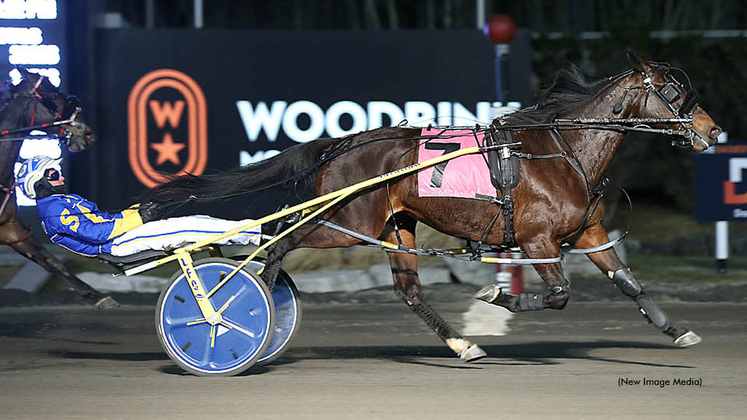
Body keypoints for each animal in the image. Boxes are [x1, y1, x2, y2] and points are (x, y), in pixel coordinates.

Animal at [148, 52, 720, 360]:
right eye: (671, 91)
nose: (713, 132)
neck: (563, 152)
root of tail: (341, 144)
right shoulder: (537, 240)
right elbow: (558, 296)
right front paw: (498, 295)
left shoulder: (588, 233)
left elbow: (630, 284)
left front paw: (678, 332)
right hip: (344, 221)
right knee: (278, 241)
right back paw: (242, 308)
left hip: (395, 227)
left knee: (408, 291)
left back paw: (463, 344)